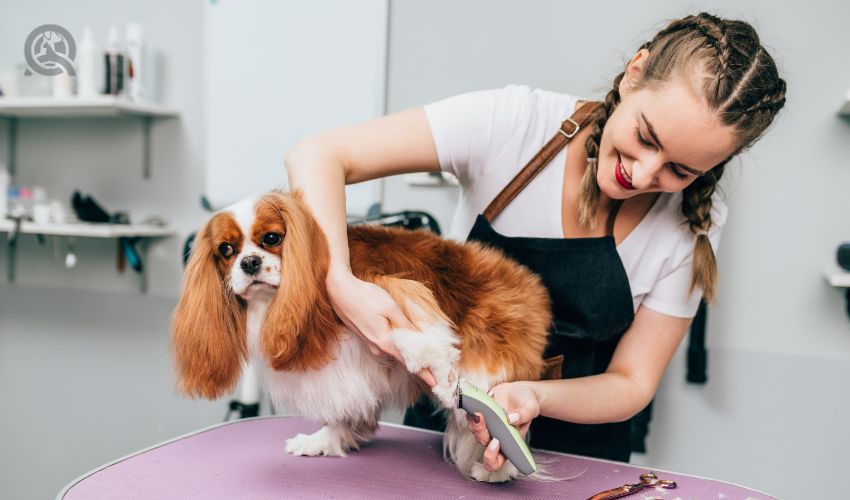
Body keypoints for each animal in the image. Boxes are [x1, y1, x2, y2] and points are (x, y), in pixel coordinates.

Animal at [171, 189, 548, 482]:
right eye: (226, 250)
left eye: (272, 239)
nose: (248, 263)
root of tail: (527, 284)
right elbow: (346, 406)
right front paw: (325, 439)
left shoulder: (381, 286)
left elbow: (410, 326)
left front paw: (432, 365)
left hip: (487, 361)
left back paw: (498, 470)